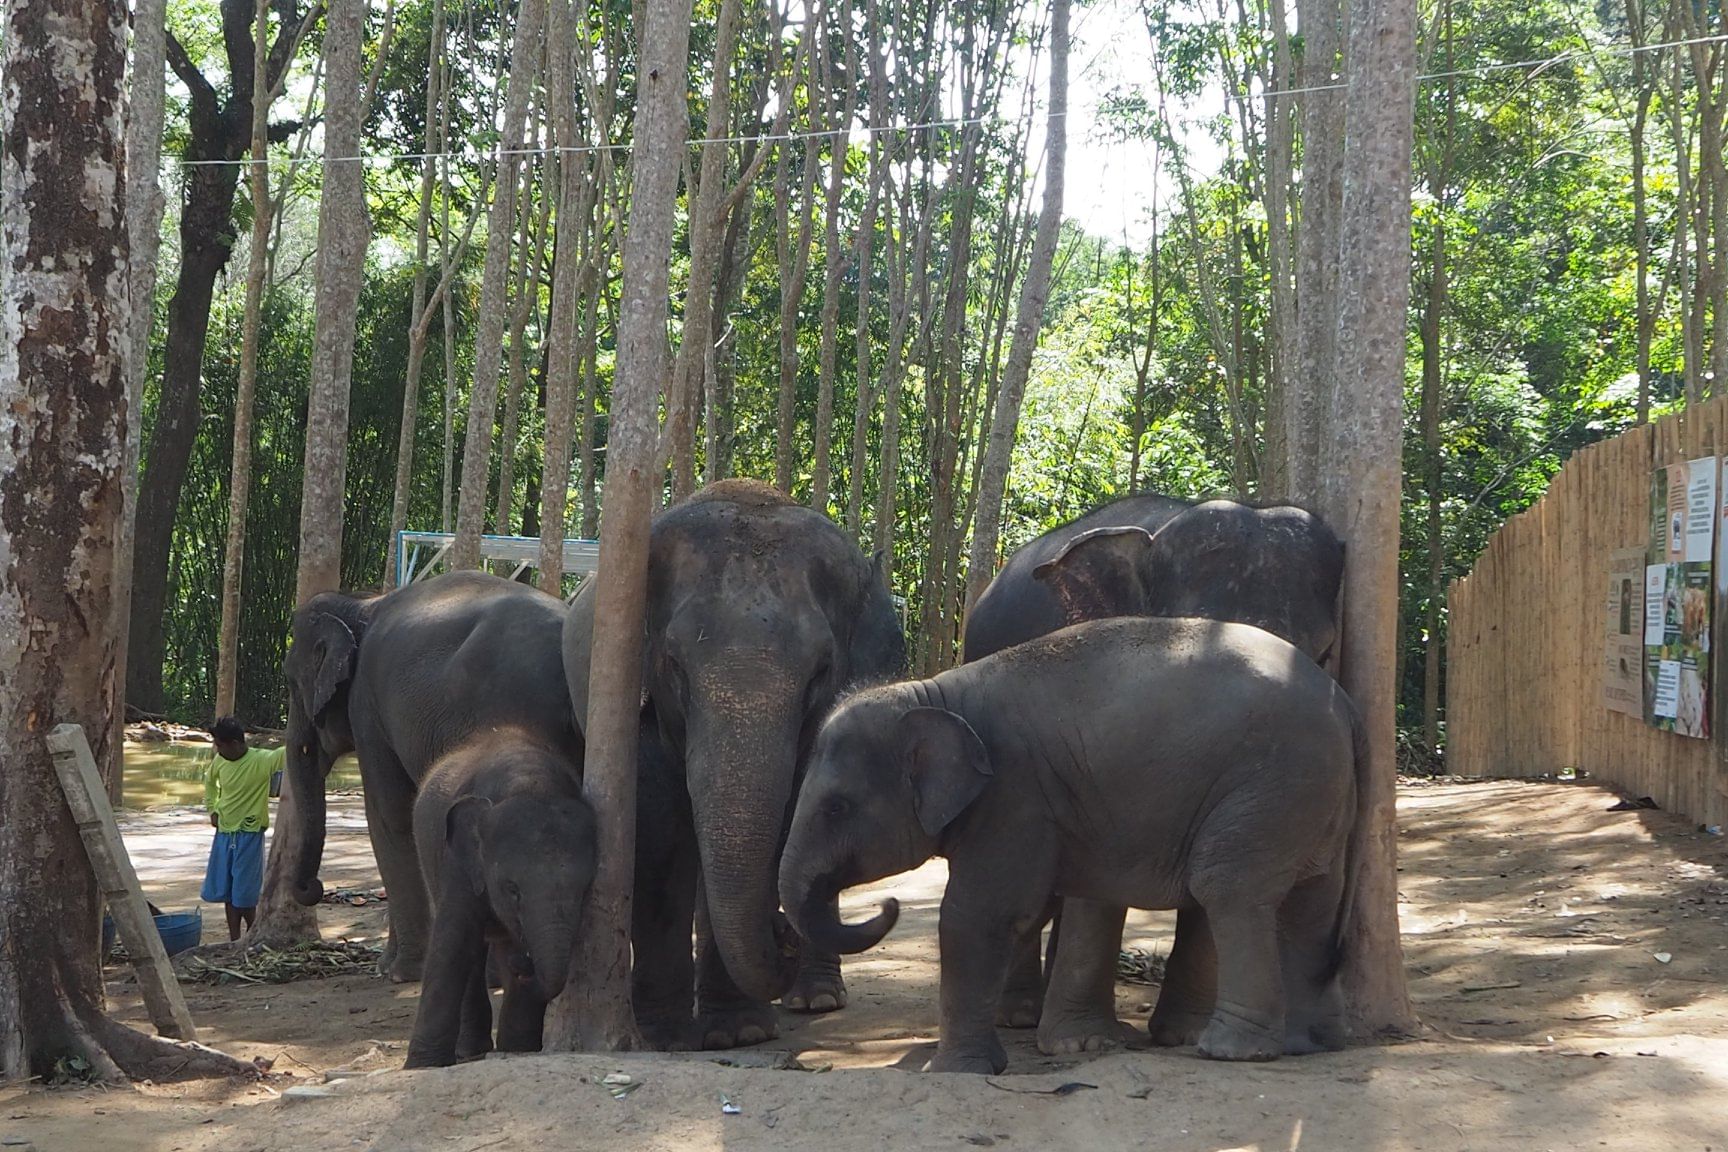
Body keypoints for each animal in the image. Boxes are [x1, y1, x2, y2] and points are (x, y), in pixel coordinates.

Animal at [282, 570, 579, 983]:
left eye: (292, 683)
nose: (313, 886)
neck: (361, 602)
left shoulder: (367, 706)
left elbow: (390, 815)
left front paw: (397, 972)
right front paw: (391, 966)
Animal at [403, 729, 595, 1069]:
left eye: (584, 889)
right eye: (512, 889)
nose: (524, 964)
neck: (530, 780)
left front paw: (519, 1050)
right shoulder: (457, 863)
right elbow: (452, 944)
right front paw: (422, 1066)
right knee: (470, 951)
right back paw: (470, 1051)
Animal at [563, 479, 905, 1050]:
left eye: (821, 671)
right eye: (673, 665)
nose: (783, 932)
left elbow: (791, 821)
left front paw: (737, 1033)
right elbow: (659, 828)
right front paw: (668, 1036)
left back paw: (816, 1000)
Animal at [779, 616, 1364, 1074]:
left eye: (836, 807)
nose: (890, 904)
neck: (937, 693)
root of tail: (1343, 704)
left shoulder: (1015, 795)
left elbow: (979, 914)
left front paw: (958, 1072)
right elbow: (1048, 903)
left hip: (1273, 782)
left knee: (1227, 887)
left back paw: (1229, 1051)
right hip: (1312, 797)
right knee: (1314, 898)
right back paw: (1308, 1044)